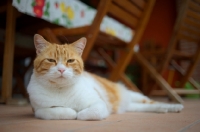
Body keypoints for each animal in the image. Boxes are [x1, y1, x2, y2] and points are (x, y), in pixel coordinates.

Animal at [27, 34, 184, 120]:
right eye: (51, 60)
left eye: (70, 61)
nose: (61, 69)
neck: (61, 90)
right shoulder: (38, 110)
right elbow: (60, 111)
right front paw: (71, 111)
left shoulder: (99, 103)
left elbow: (87, 113)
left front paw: (80, 113)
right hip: (131, 106)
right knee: (145, 107)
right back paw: (163, 110)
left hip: (135, 96)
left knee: (153, 102)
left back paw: (173, 106)